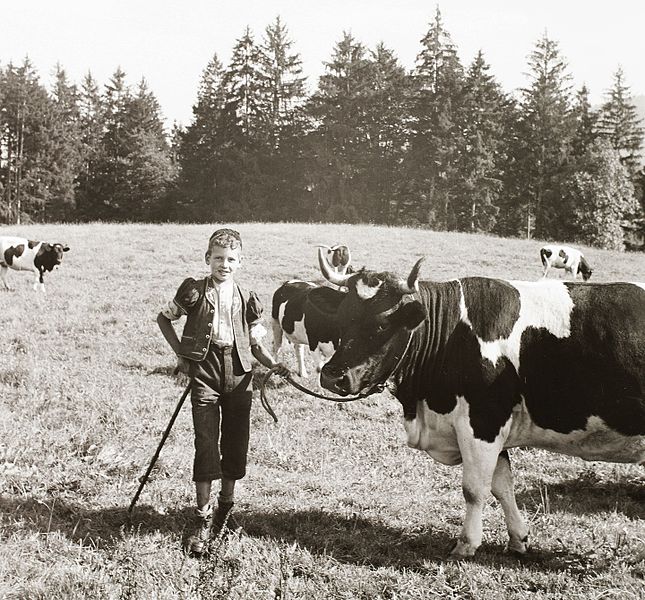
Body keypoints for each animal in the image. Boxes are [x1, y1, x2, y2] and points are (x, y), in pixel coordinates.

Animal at [272, 243, 352, 376]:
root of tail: (289, 282)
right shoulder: (314, 344)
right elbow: (320, 369)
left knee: (298, 348)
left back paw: (303, 372)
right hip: (276, 323)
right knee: (277, 346)